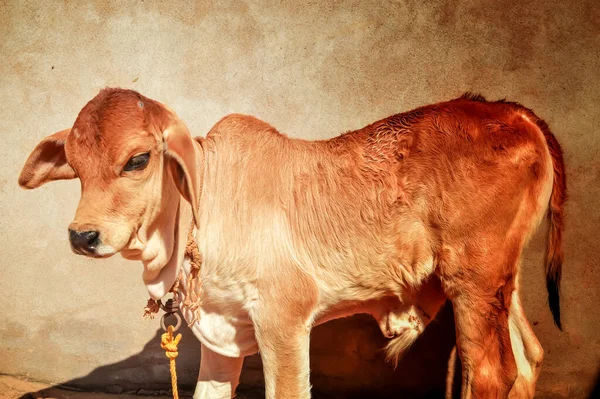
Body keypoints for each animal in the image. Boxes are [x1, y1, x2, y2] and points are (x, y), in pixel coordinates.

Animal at [17, 90, 564, 399]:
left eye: (137, 159)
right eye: (74, 164)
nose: (82, 235)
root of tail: (514, 113)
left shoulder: (283, 318)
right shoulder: (221, 334)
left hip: (474, 279)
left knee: (492, 374)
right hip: (501, 283)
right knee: (529, 358)